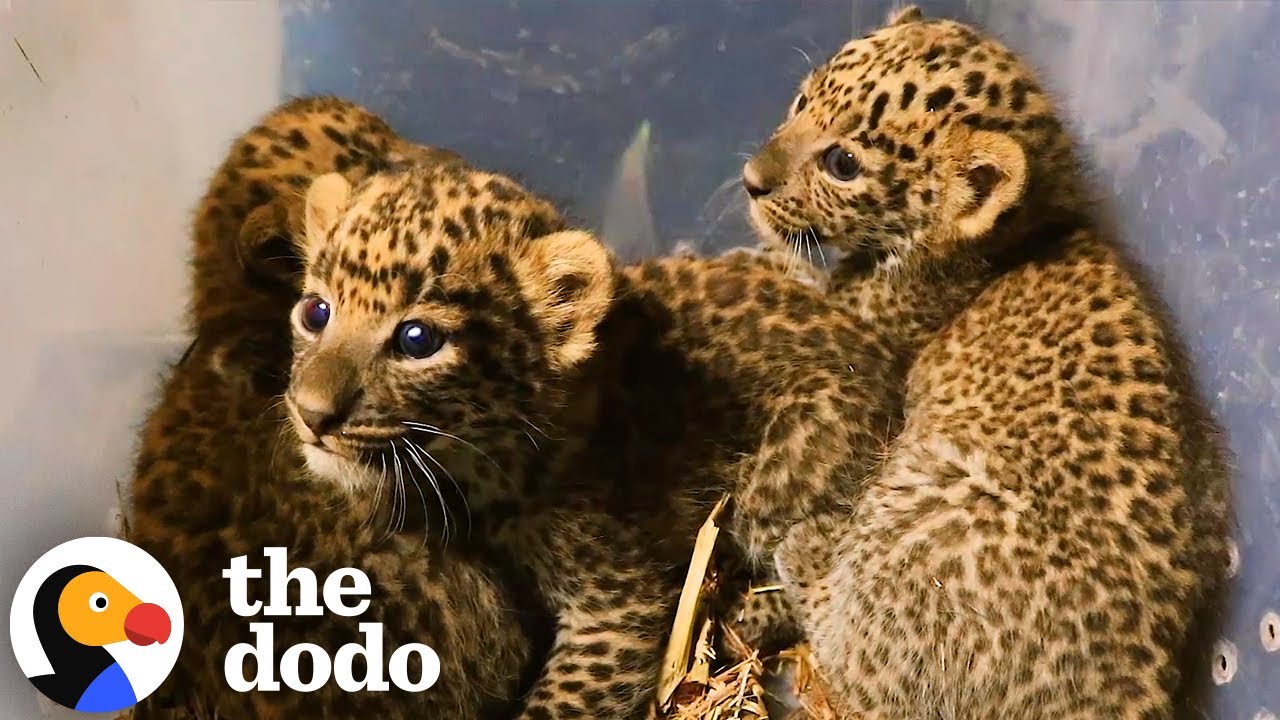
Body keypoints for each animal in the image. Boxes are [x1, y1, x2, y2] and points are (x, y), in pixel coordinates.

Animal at [742, 6, 1234, 719]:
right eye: (803, 101)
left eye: (842, 163)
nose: (751, 180)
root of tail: (1126, 690)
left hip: (926, 505)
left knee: (854, 659)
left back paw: (798, 555)